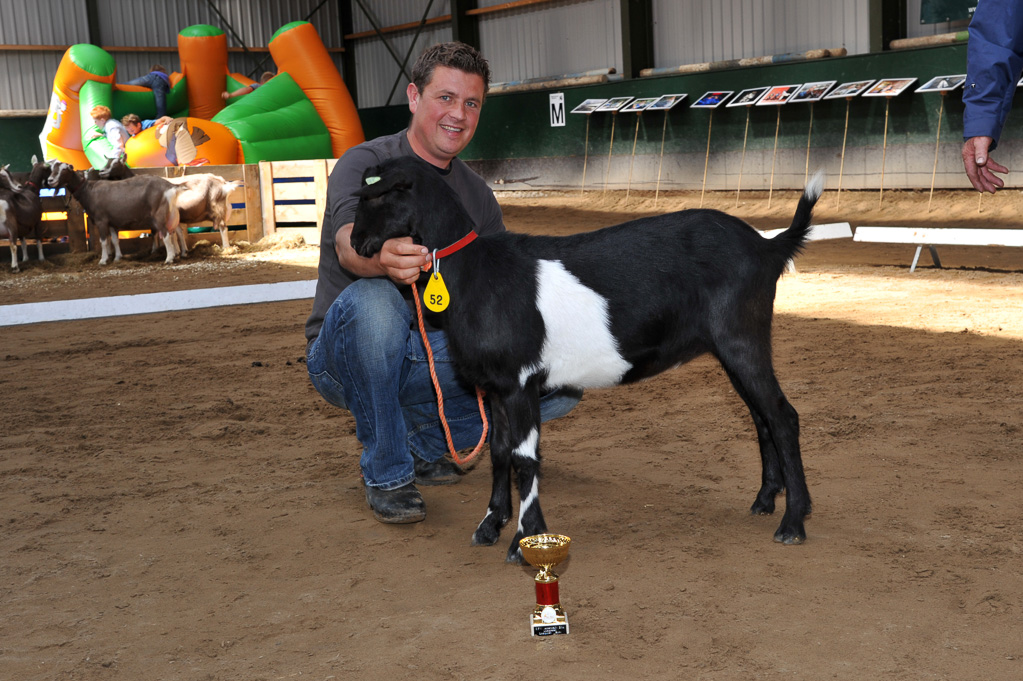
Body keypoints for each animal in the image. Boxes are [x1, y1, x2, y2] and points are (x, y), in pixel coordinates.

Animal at [47, 160, 184, 263]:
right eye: (52, 169)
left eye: (64, 169)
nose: (50, 180)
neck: (88, 190)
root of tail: (169, 186)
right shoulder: (111, 221)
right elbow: (114, 240)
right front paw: (117, 258)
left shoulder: (101, 220)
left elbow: (103, 241)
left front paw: (103, 260)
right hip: (171, 215)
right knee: (174, 233)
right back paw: (177, 254)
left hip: (159, 215)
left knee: (166, 235)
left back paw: (169, 258)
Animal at [351, 155, 822, 560]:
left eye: (374, 196)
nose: (355, 242)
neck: (476, 272)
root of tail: (766, 248)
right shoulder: (496, 387)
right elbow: (500, 452)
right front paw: (490, 525)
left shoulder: (521, 381)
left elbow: (524, 458)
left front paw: (524, 539)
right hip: (731, 347)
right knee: (761, 417)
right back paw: (764, 500)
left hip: (743, 336)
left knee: (783, 416)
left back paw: (793, 522)